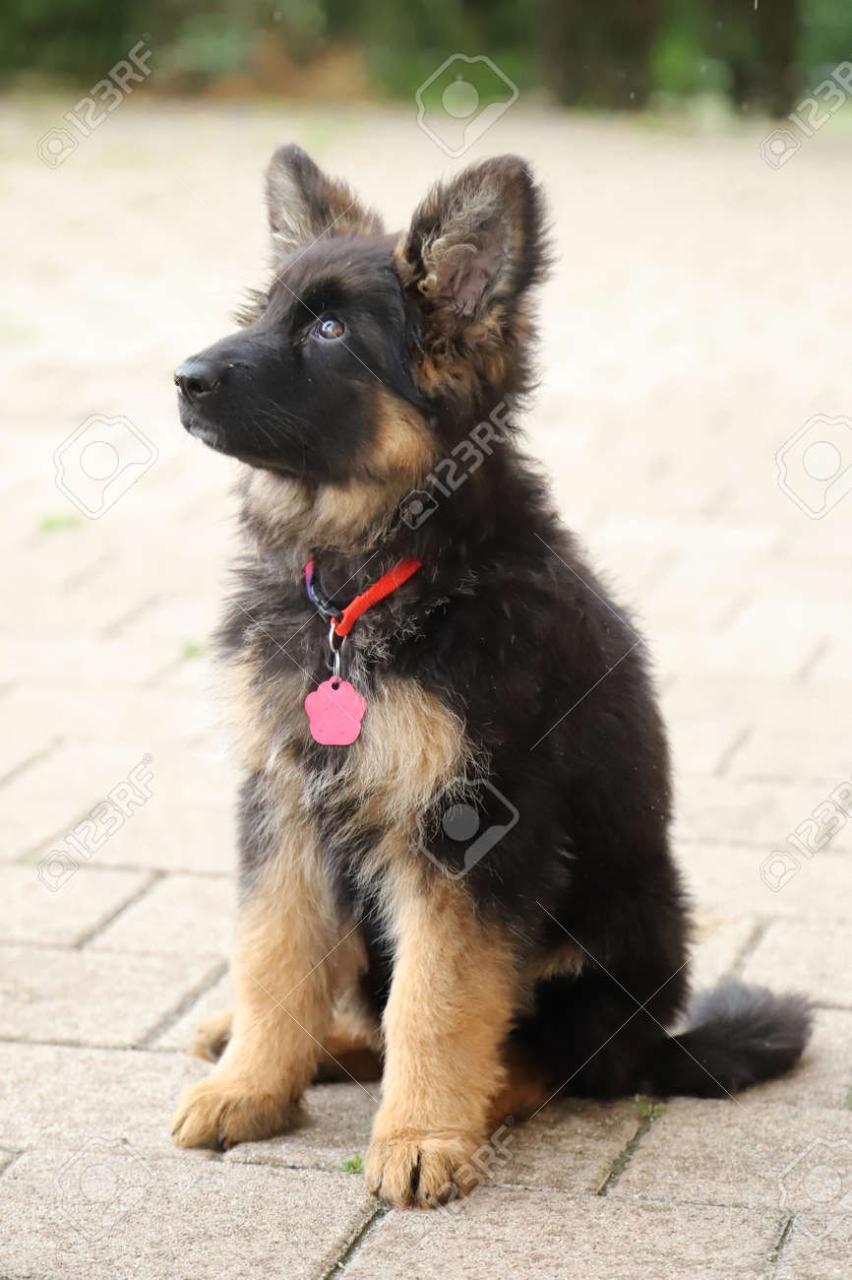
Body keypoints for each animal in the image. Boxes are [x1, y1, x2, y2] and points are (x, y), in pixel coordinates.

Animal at [168, 145, 808, 1203]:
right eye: (263, 313)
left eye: (330, 330)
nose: (181, 379)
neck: (370, 581)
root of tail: (664, 1041)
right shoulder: (286, 799)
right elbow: (274, 952)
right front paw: (251, 1087)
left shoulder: (471, 826)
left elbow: (436, 998)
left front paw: (421, 1136)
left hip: (618, 941)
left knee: (557, 1059)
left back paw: (480, 1097)